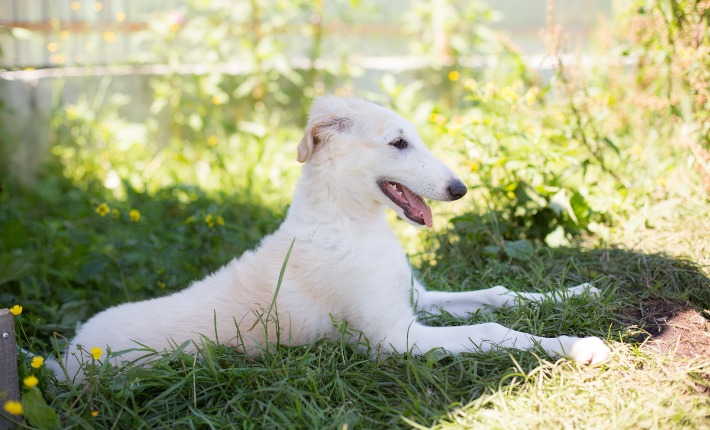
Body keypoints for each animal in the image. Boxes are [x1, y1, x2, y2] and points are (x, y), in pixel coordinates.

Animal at [59, 96, 612, 380]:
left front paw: (578, 292)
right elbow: (497, 330)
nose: (459, 189)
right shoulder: (395, 338)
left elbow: (498, 295)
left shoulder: (415, 300)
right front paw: (578, 345)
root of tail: (62, 358)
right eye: (398, 142)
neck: (352, 225)